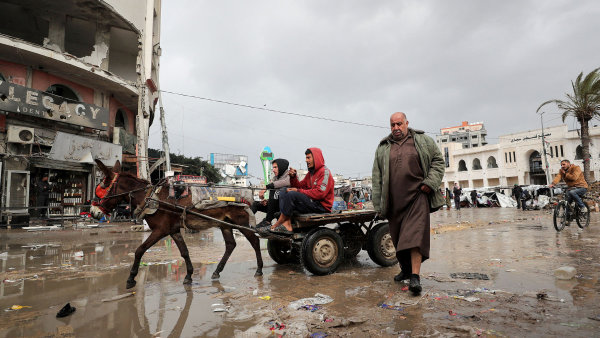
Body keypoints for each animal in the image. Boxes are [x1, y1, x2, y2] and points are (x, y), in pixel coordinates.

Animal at [94, 158, 262, 288]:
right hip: (225, 224)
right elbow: (184, 252)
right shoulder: (173, 230)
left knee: (255, 241)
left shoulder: (160, 230)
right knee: (230, 245)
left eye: (102, 188)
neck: (151, 197)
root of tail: (247, 194)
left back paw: (259, 269)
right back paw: (217, 271)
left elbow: (139, 250)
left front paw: (130, 278)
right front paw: (188, 275)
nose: (94, 212)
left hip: (242, 222)